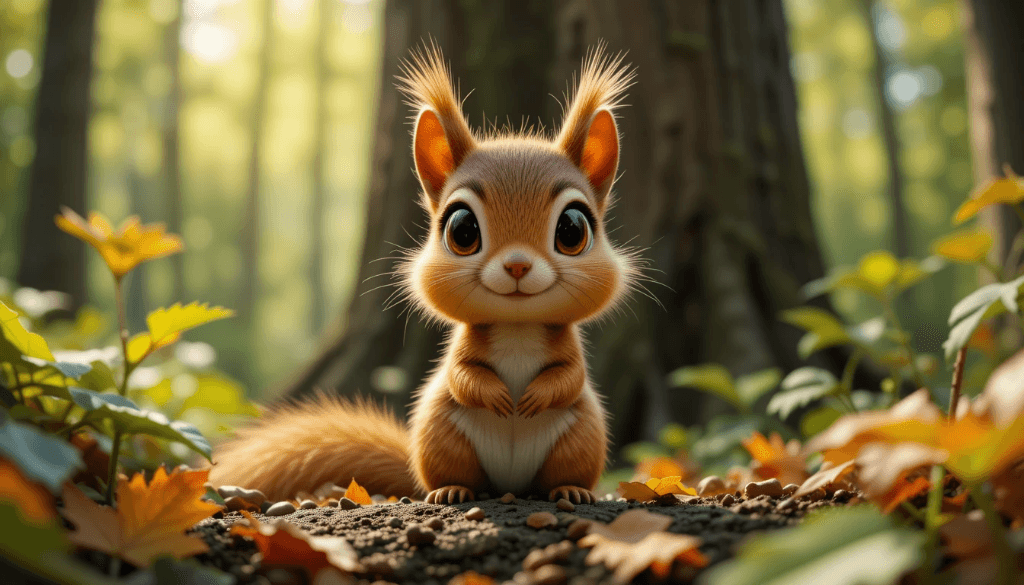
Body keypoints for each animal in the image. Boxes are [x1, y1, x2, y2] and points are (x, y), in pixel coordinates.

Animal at [208, 44, 639, 505]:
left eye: (573, 229)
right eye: (462, 229)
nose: (517, 266)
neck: (518, 328)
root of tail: (509, 485)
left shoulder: (568, 351)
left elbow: (571, 377)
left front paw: (535, 395)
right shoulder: (462, 350)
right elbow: (460, 375)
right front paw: (497, 395)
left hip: (581, 438)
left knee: (561, 473)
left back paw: (570, 489)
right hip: (441, 434)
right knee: (454, 476)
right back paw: (451, 490)